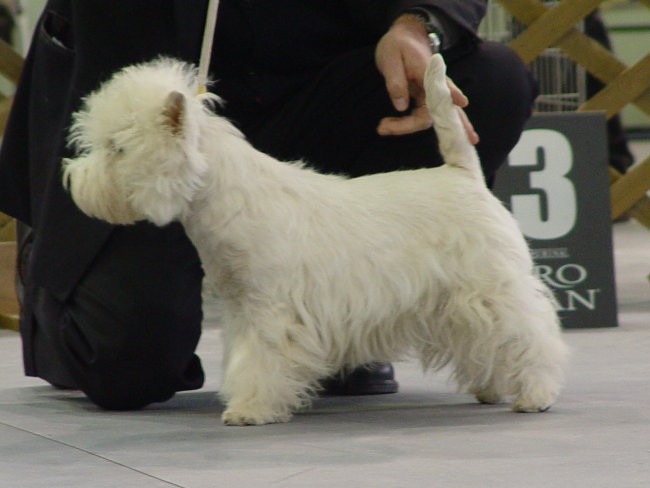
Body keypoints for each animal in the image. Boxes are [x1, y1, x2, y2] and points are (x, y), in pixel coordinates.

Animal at [63, 55, 564, 426]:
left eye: (117, 148)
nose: (73, 180)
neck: (226, 200)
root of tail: (463, 174)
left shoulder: (272, 308)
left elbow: (264, 359)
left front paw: (251, 409)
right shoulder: (243, 307)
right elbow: (244, 358)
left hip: (490, 284)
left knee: (529, 332)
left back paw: (535, 394)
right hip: (457, 299)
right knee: (484, 339)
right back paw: (492, 387)